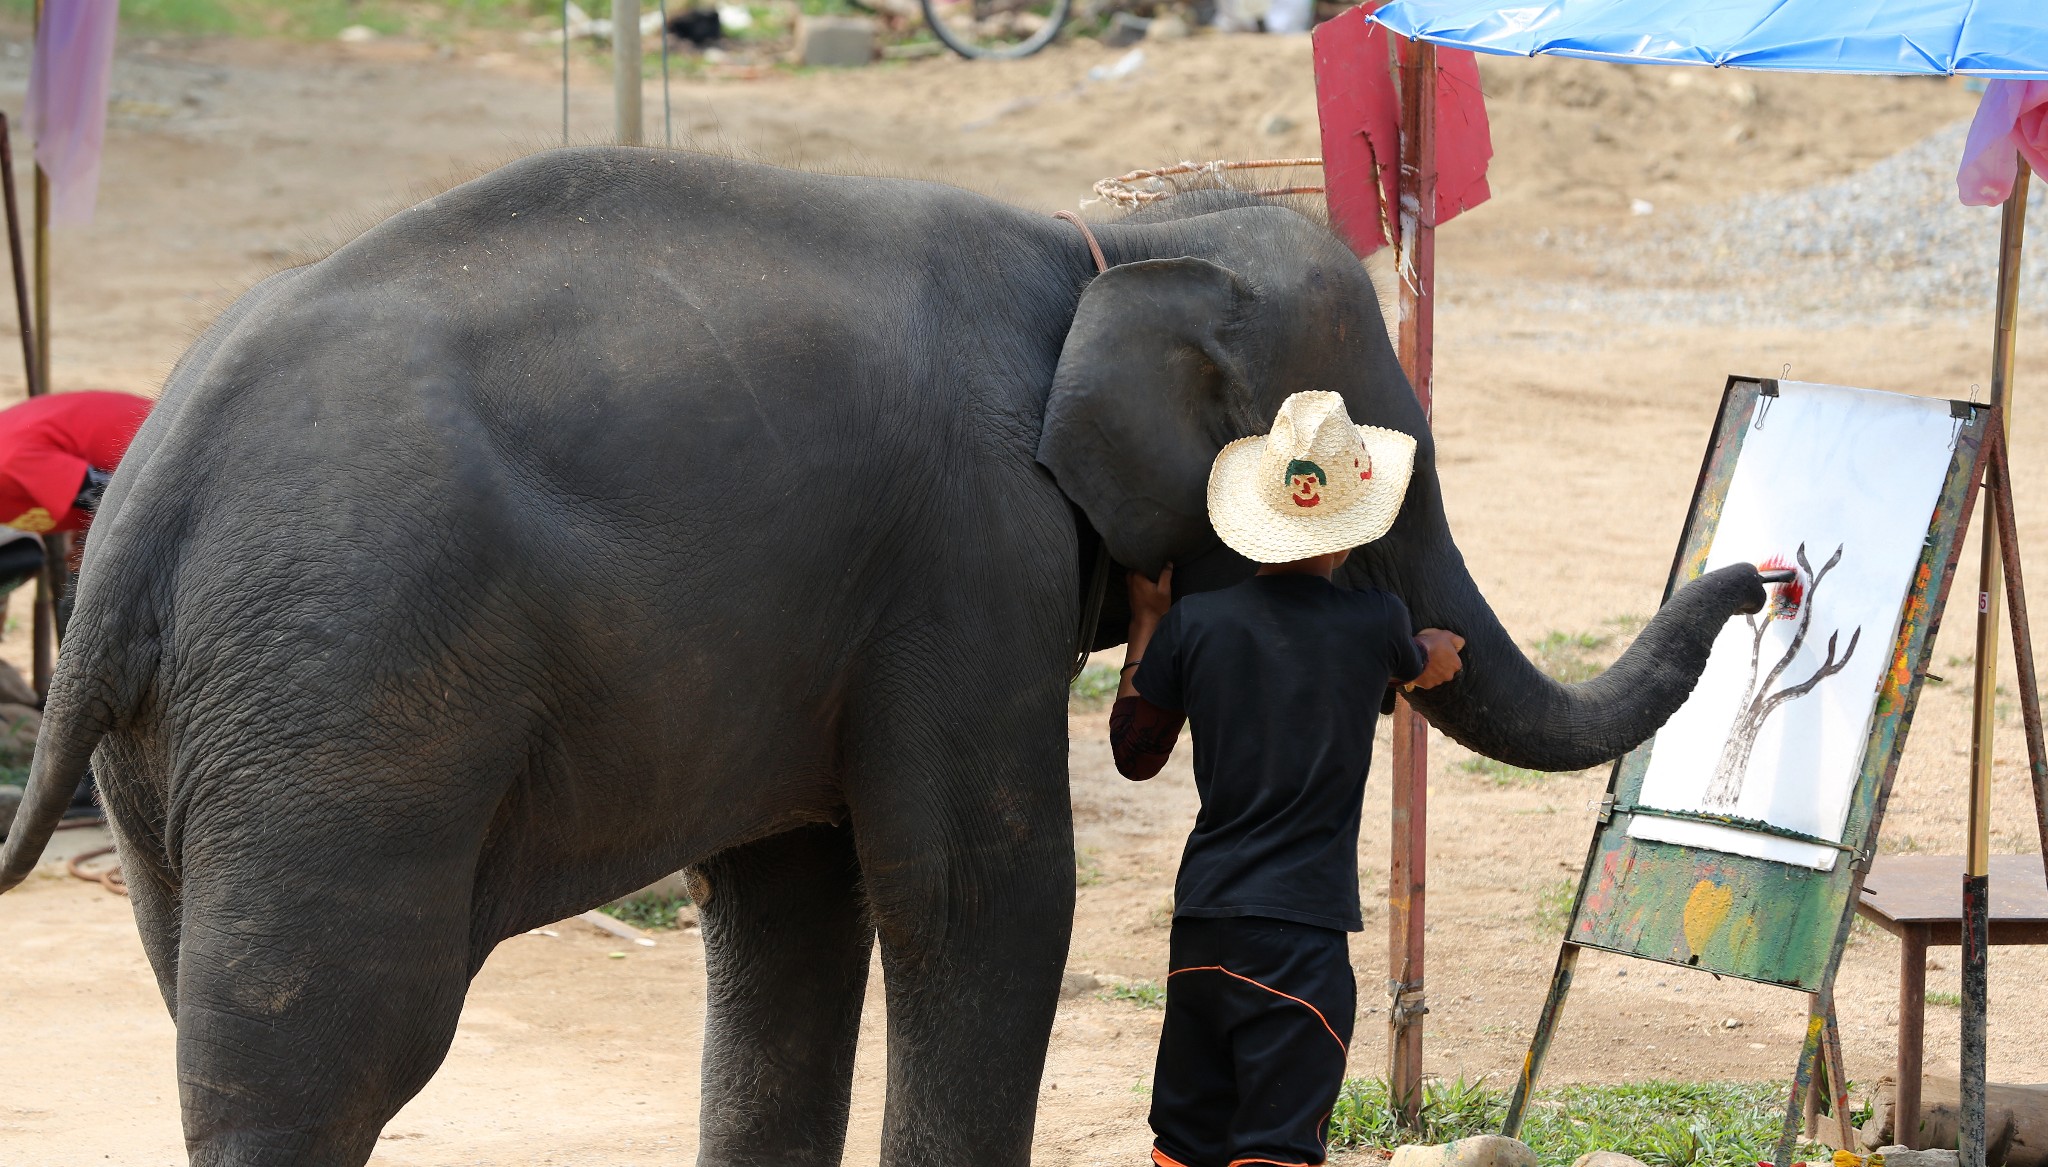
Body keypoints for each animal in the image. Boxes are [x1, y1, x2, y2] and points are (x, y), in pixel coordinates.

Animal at [0, 147, 1761, 1162]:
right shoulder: (960, 552)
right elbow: (981, 888)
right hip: (346, 693)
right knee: (320, 1046)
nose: (1766, 578)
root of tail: (143, 498)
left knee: (215, 996)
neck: (1098, 242)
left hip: (194, 737)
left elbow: (790, 908)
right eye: (1384, 446)